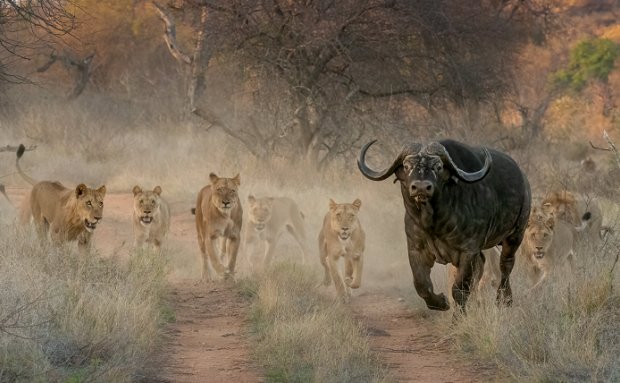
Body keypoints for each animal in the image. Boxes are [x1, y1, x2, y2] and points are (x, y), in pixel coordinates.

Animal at [360, 140, 532, 310]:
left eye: (438, 167)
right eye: (407, 166)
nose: (421, 187)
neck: (435, 224)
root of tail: (523, 180)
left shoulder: (468, 251)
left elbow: (459, 290)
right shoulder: (415, 248)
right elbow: (422, 285)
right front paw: (441, 302)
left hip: (516, 235)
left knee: (506, 265)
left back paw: (504, 300)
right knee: (482, 266)